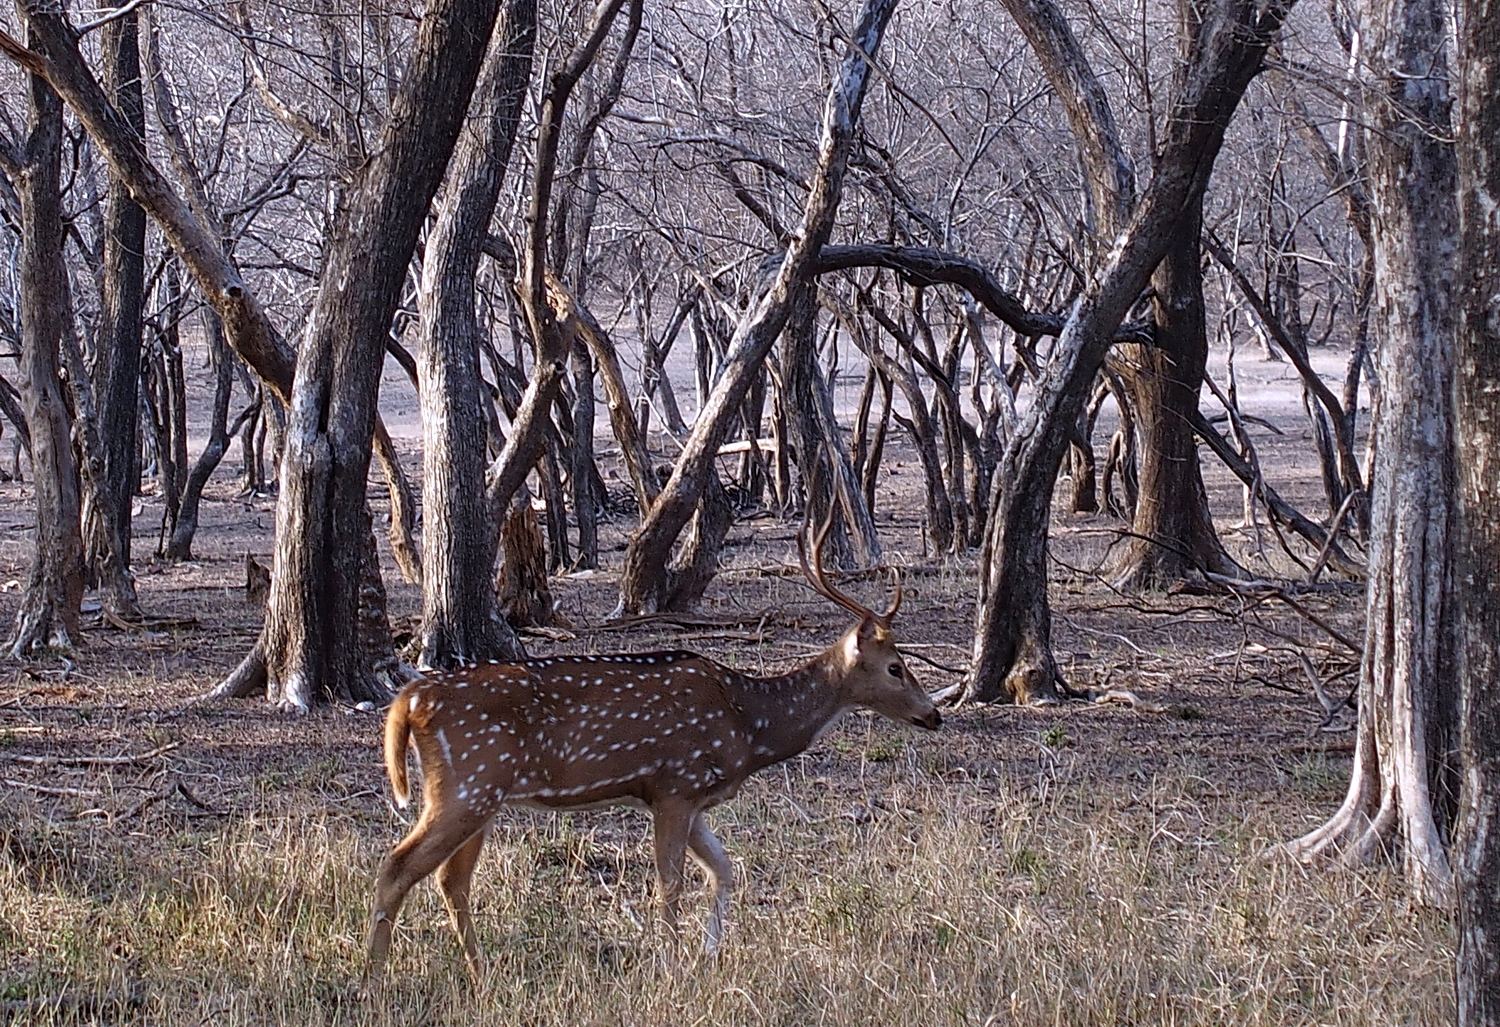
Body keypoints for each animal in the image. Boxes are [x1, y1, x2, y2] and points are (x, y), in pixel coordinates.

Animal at [363, 524, 936, 983]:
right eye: (895, 667)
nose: (934, 715)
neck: (747, 725)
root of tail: (410, 699)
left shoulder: (693, 798)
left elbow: (725, 871)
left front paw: (707, 956)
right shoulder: (675, 785)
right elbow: (671, 885)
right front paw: (672, 963)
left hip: (480, 794)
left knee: (450, 881)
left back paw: (480, 974)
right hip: (469, 782)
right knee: (397, 866)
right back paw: (375, 979)